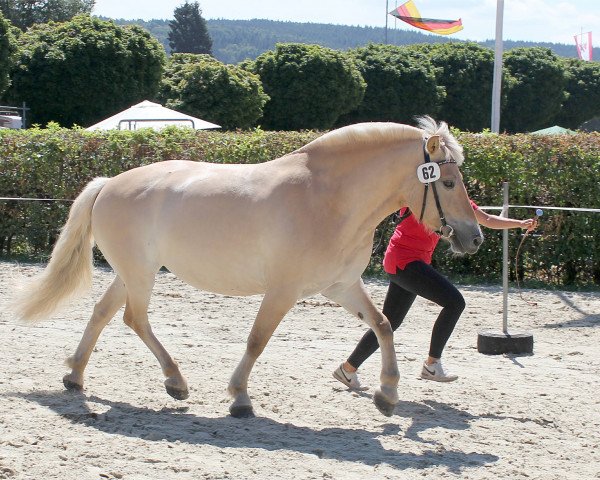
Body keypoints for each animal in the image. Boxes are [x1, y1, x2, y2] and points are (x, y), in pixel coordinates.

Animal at [12, 115, 482, 416]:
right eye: (448, 182)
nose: (474, 237)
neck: (328, 198)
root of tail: (109, 183)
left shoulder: (340, 286)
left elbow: (382, 325)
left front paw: (387, 395)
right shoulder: (283, 290)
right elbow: (257, 340)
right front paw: (240, 398)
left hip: (132, 273)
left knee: (103, 313)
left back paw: (77, 377)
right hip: (140, 274)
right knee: (134, 319)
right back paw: (175, 382)